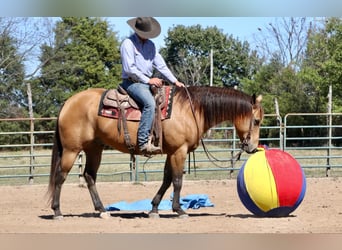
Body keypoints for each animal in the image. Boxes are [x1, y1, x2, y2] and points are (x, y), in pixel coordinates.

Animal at [46, 86, 264, 219]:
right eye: (256, 120)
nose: (252, 147)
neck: (191, 110)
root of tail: (68, 102)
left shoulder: (171, 152)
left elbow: (167, 180)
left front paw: (154, 208)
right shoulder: (179, 151)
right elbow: (177, 180)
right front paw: (179, 210)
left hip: (94, 149)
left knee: (89, 176)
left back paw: (102, 210)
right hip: (71, 150)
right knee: (60, 177)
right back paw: (57, 211)